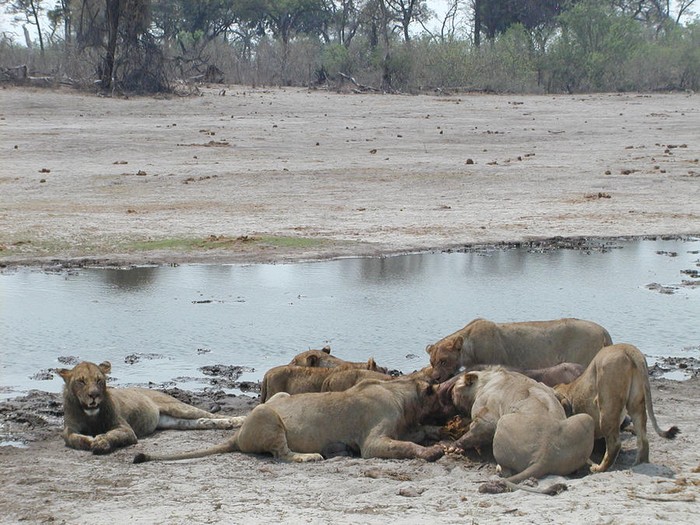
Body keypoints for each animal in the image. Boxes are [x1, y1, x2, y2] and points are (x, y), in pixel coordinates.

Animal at [58, 360, 247, 454]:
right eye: (81, 381)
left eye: (99, 380)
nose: (94, 395)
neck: (90, 414)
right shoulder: (69, 430)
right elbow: (74, 438)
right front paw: (90, 440)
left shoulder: (126, 429)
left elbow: (113, 434)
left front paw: (101, 441)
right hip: (173, 421)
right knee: (199, 422)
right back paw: (218, 424)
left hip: (178, 407)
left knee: (210, 415)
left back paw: (236, 421)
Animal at [133, 376, 442, 462]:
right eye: (439, 396)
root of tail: (237, 434)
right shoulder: (373, 442)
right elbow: (406, 446)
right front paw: (433, 452)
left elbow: (418, 433)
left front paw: (435, 436)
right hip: (266, 414)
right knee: (283, 454)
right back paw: (312, 456)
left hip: (281, 395)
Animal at [440, 366, 592, 486]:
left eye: (453, 392)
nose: (450, 397)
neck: (489, 378)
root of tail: (546, 453)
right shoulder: (546, 386)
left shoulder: (486, 414)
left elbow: (478, 430)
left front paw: (454, 446)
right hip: (586, 419)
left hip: (503, 421)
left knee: (507, 472)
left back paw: (499, 469)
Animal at [552, 344, 680, 470]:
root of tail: (627, 348)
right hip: (636, 404)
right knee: (643, 440)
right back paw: (638, 463)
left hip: (607, 405)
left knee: (614, 444)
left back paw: (598, 468)